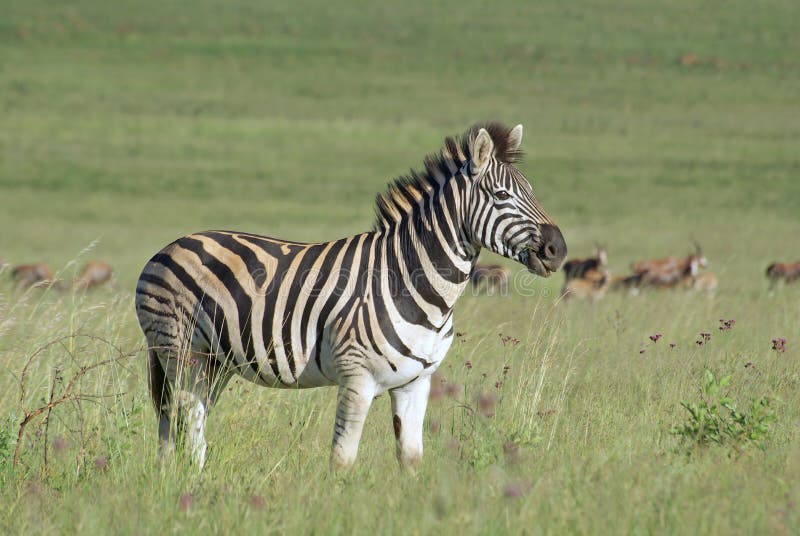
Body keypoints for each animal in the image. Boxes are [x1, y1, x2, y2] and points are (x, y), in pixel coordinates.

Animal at [134, 122, 567, 471]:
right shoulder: (356, 379)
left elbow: (411, 458)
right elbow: (342, 460)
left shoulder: (416, 383)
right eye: (500, 195)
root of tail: (169, 246)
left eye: (532, 191)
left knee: (178, 423)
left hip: (213, 362)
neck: (415, 283)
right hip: (181, 352)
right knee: (186, 422)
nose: (558, 250)